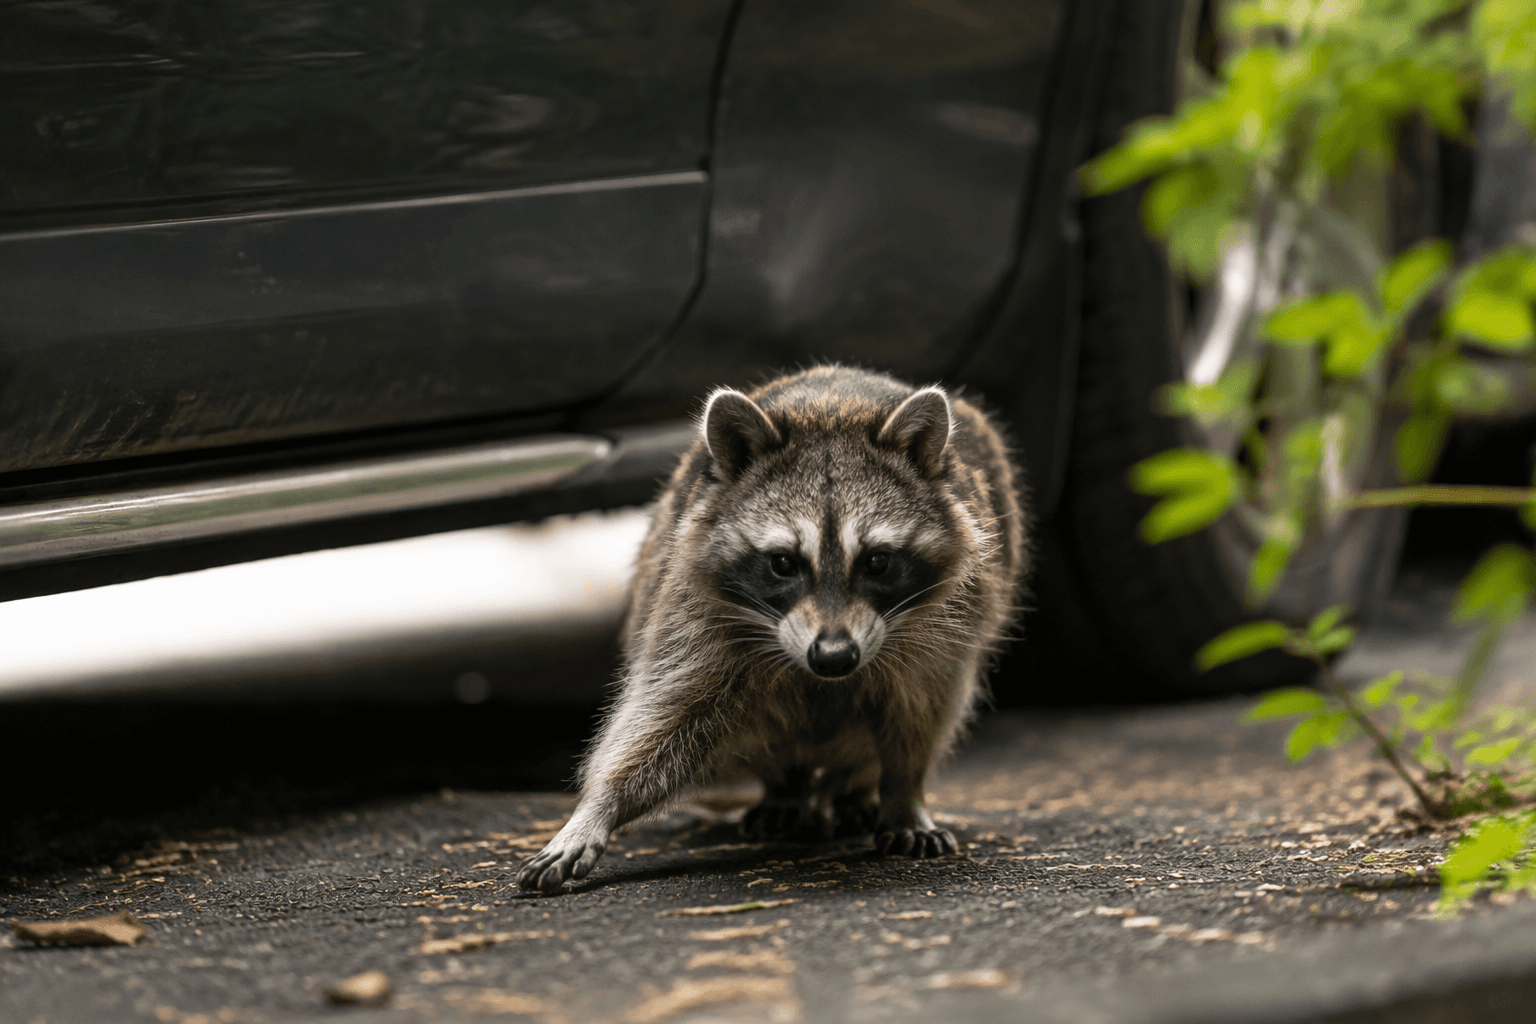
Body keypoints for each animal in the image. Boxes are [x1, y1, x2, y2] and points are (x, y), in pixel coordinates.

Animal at [517, 365, 1027, 893]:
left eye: (877, 562)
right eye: (783, 563)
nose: (834, 657)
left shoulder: (944, 628)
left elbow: (919, 713)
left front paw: (904, 792)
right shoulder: (697, 613)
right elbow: (663, 714)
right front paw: (599, 805)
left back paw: (855, 788)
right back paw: (785, 788)